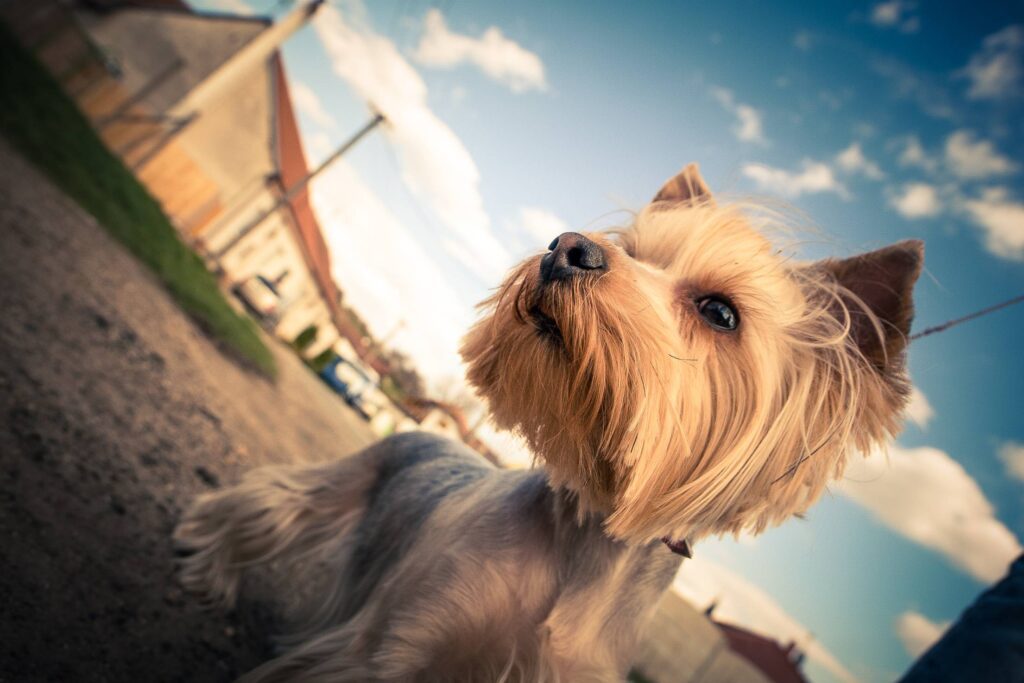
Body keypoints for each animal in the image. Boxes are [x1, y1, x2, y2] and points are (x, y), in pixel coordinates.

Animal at [172, 166, 925, 683]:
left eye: (720, 312)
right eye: (631, 249)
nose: (568, 247)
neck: (584, 534)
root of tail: (429, 431)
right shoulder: (390, 646)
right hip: (334, 486)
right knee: (263, 507)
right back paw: (208, 565)